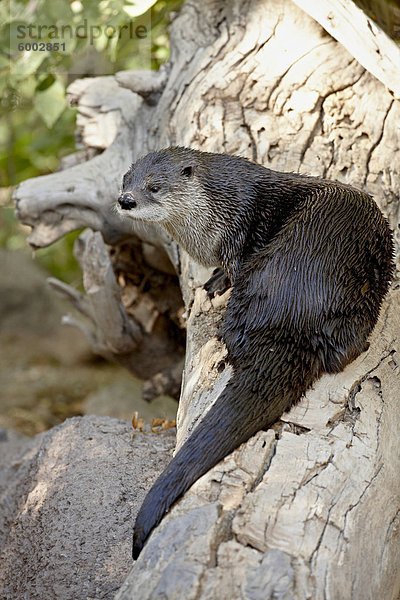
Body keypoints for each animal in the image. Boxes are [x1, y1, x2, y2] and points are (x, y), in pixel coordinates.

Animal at [116, 145, 394, 556]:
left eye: (154, 186)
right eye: (126, 179)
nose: (126, 200)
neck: (217, 212)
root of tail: (290, 310)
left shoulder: (238, 237)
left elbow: (232, 267)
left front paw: (217, 280)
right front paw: (214, 280)